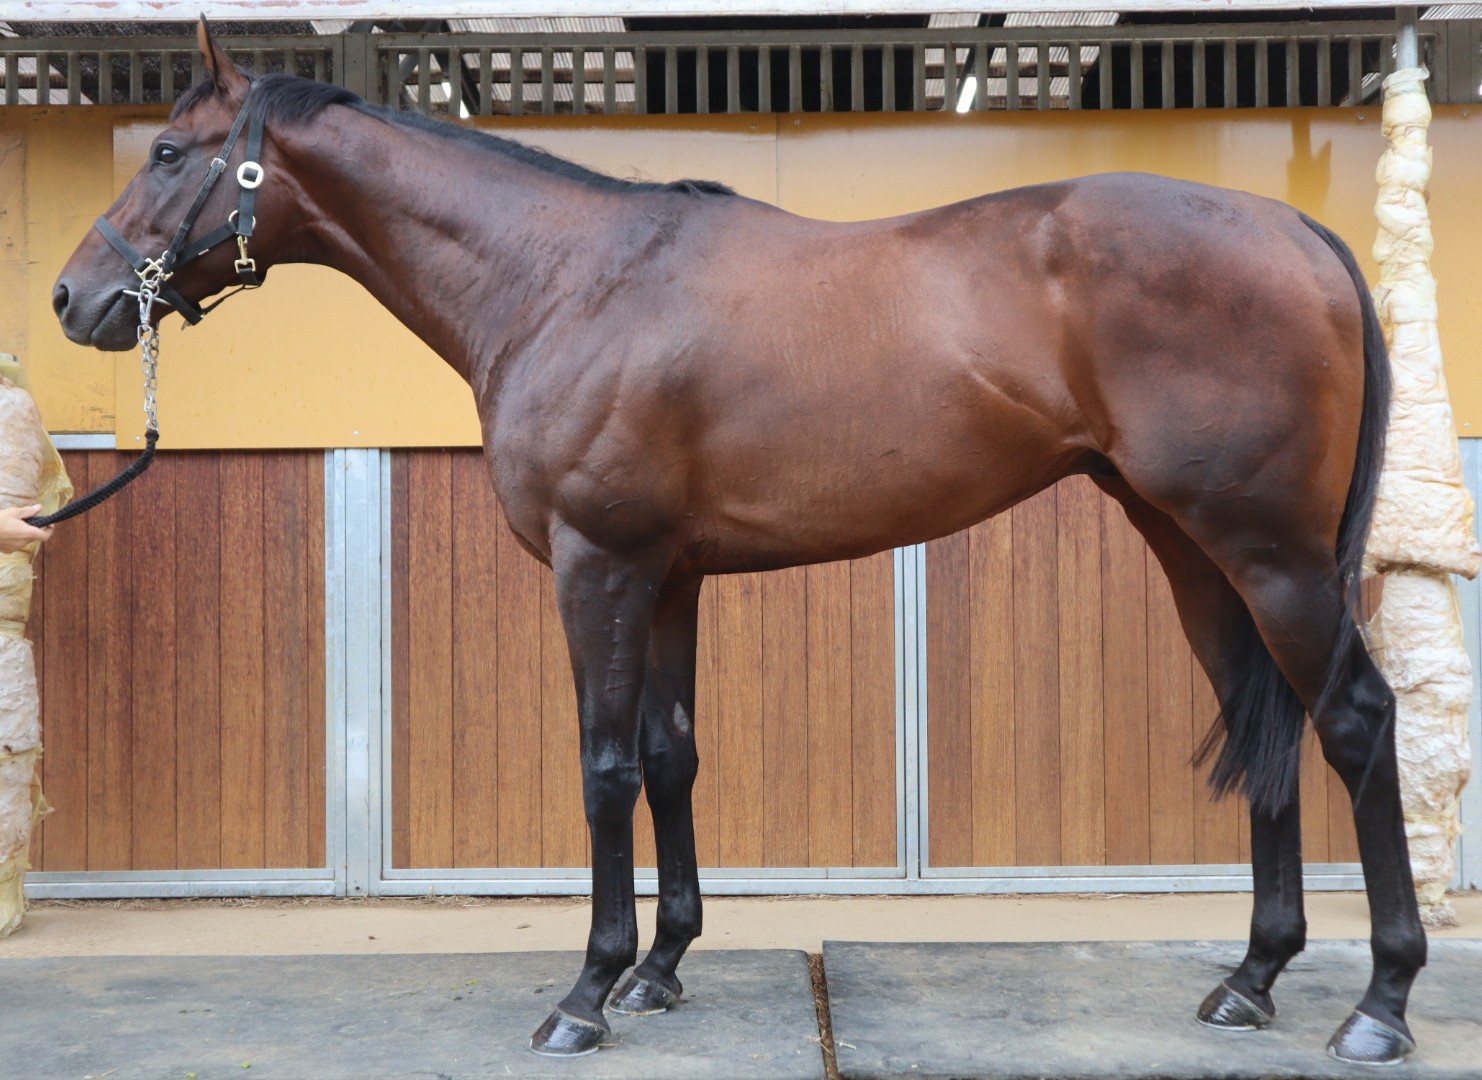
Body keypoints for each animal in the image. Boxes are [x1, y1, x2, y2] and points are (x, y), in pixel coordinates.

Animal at [53, 21, 1422, 1066]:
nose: (74, 298)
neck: (562, 279)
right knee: (1266, 722)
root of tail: (1300, 235)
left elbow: (605, 767)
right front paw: (661, 967)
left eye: (168, 151)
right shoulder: (667, 576)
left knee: (1352, 719)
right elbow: (672, 757)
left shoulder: (597, 565)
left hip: (1270, 553)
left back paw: (1380, 1004)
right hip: (1194, 549)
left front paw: (586, 994)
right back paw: (1249, 978)